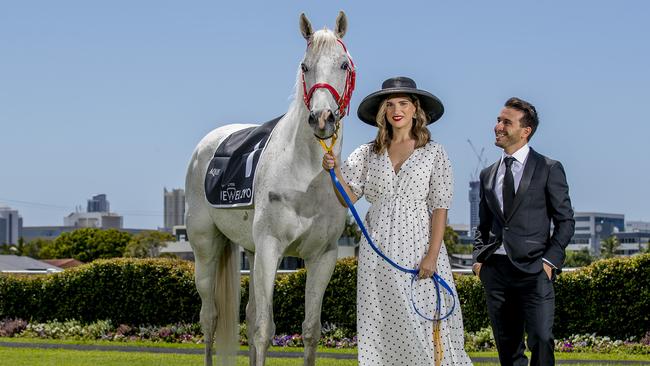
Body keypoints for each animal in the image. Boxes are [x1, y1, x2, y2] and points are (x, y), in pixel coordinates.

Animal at [182, 11, 354, 366]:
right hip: (206, 249)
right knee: (210, 318)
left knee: (246, 315)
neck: (305, 177)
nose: (322, 119)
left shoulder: (323, 256)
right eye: (305, 66)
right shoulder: (270, 248)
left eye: (343, 64)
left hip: (249, 250)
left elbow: (310, 330)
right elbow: (264, 328)